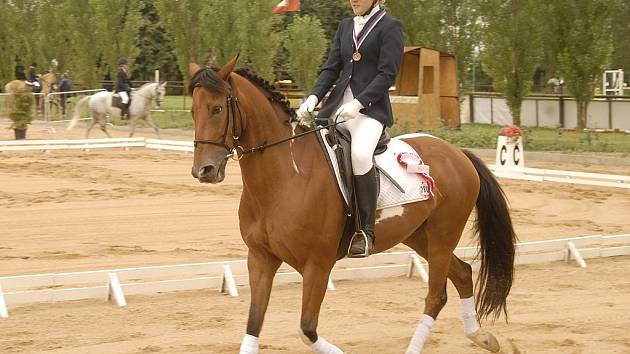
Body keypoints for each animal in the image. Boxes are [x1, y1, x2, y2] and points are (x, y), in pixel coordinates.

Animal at [189, 56, 520, 352]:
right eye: (193, 111)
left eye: (217, 109)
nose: (203, 171)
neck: (284, 177)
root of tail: (457, 153)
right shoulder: (260, 258)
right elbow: (254, 324)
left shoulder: (317, 265)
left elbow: (307, 329)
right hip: (419, 236)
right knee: (462, 274)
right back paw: (483, 338)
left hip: (442, 236)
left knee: (435, 296)